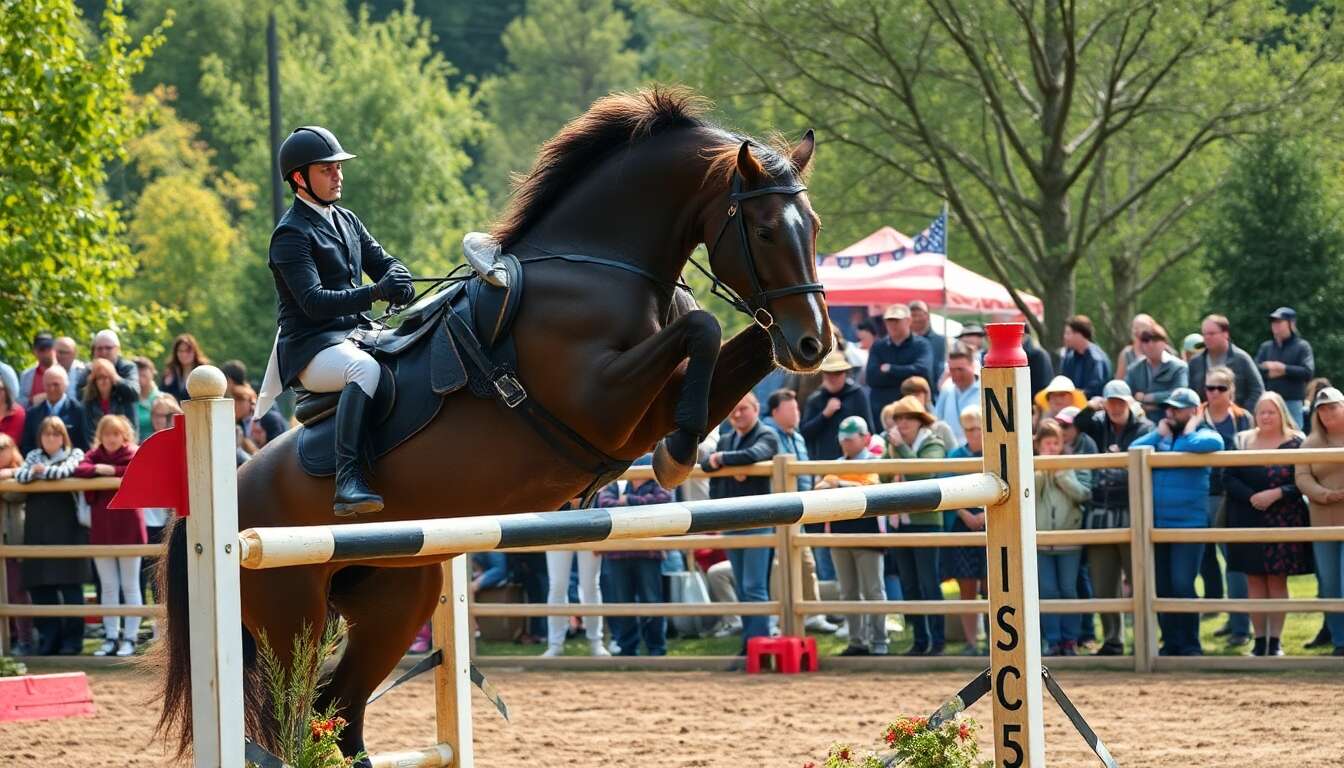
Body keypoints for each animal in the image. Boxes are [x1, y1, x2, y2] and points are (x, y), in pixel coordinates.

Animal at [153, 87, 831, 762]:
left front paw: (685, 444)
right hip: (292, 618)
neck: (598, 266)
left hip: (395, 598)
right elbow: (704, 328)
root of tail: (221, 498)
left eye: (816, 226)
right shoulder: (602, 404)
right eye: (765, 229)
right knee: (296, 724)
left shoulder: (649, 404)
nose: (813, 343)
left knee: (338, 712)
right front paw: (681, 449)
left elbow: (725, 344)